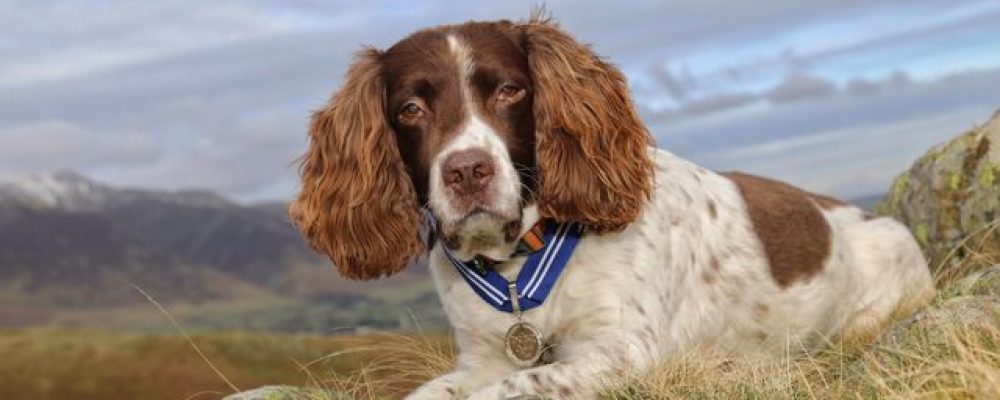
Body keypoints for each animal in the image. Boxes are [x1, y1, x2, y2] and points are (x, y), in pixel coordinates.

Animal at [289, 16, 935, 400]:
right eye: (410, 109)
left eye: (510, 90)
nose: (467, 171)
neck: (519, 266)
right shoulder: (479, 356)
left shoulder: (623, 350)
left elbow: (517, 388)